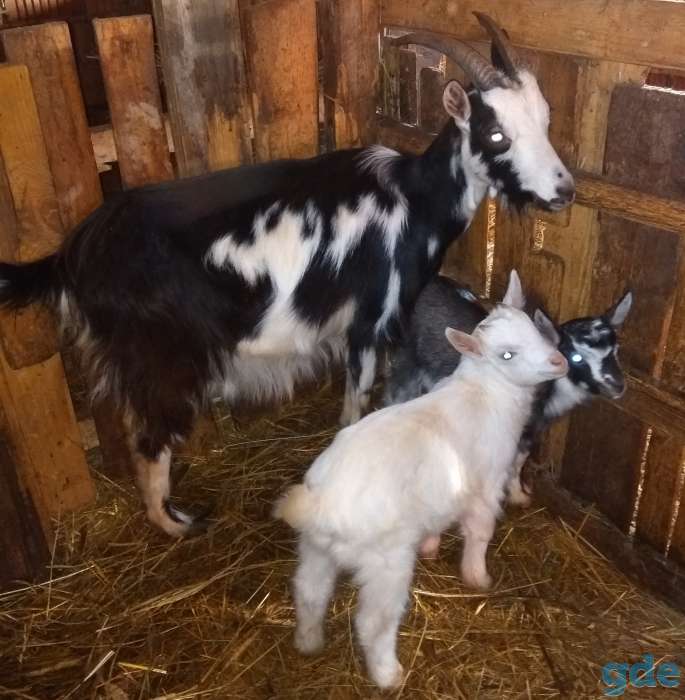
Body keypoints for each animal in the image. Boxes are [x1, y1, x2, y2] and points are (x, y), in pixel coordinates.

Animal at [0, 14, 574, 537]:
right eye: (495, 134)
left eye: (546, 120)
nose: (564, 191)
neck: (415, 200)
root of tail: (74, 253)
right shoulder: (370, 317)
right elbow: (356, 403)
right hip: (161, 353)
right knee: (152, 438)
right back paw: (177, 524)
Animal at [275, 276, 568, 689]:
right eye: (507, 355)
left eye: (534, 328)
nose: (559, 362)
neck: (485, 390)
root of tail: (320, 505)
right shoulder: (486, 484)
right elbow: (480, 531)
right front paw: (478, 577)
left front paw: (431, 545)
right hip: (386, 562)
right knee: (373, 621)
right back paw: (389, 674)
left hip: (315, 547)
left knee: (310, 590)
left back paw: (309, 641)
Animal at [384, 270, 632, 522]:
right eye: (577, 357)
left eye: (615, 350)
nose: (617, 386)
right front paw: (516, 495)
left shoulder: (532, 429)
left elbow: (520, 460)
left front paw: (520, 494)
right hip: (407, 359)